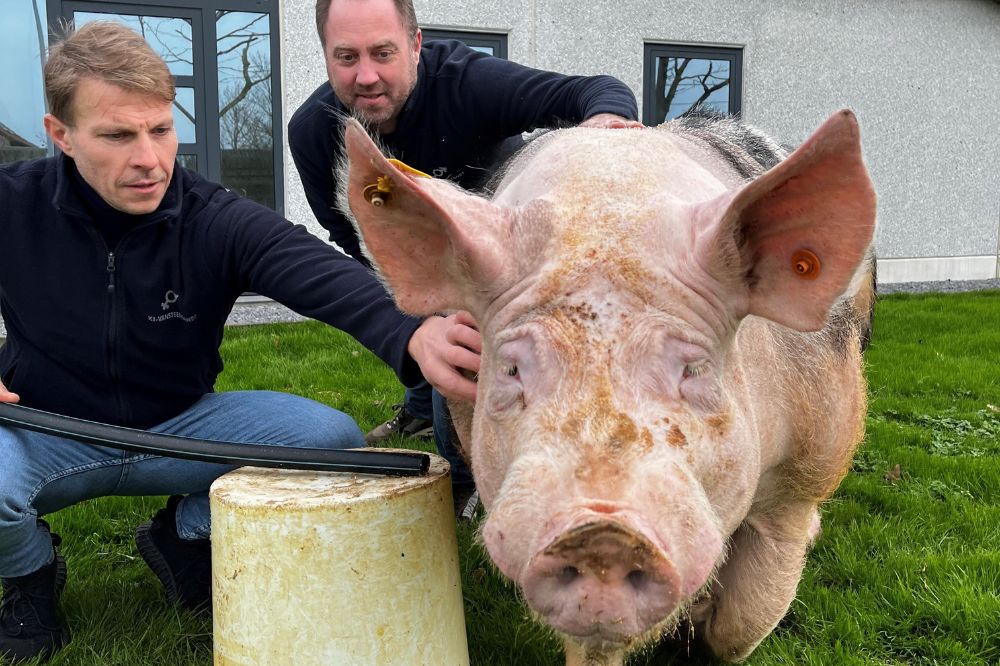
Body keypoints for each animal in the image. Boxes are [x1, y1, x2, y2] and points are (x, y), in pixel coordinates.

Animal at [336, 107, 876, 660]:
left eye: (695, 369)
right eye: (510, 369)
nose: (602, 530)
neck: (612, 198)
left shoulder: (803, 480)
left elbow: (743, 622)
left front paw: (697, 625)